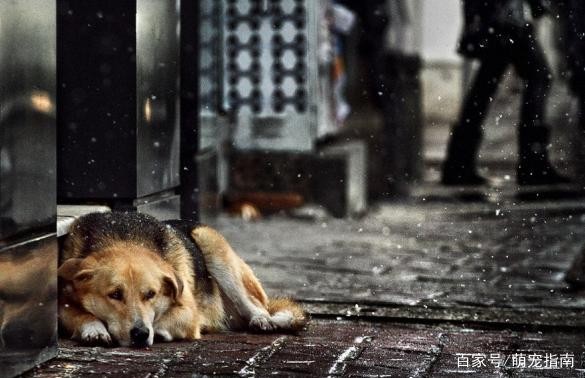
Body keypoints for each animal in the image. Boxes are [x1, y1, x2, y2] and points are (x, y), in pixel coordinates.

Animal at [57, 211, 308, 346]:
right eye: (115, 295)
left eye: (151, 294)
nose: (140, 334)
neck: (123, 238)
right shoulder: (62, 304)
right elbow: (80, 314)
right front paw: (94, 329)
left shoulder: (188, 311)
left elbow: (170, 320)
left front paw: (157, 330)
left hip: (210, 242)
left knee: (257, 306)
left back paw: (262, 319)